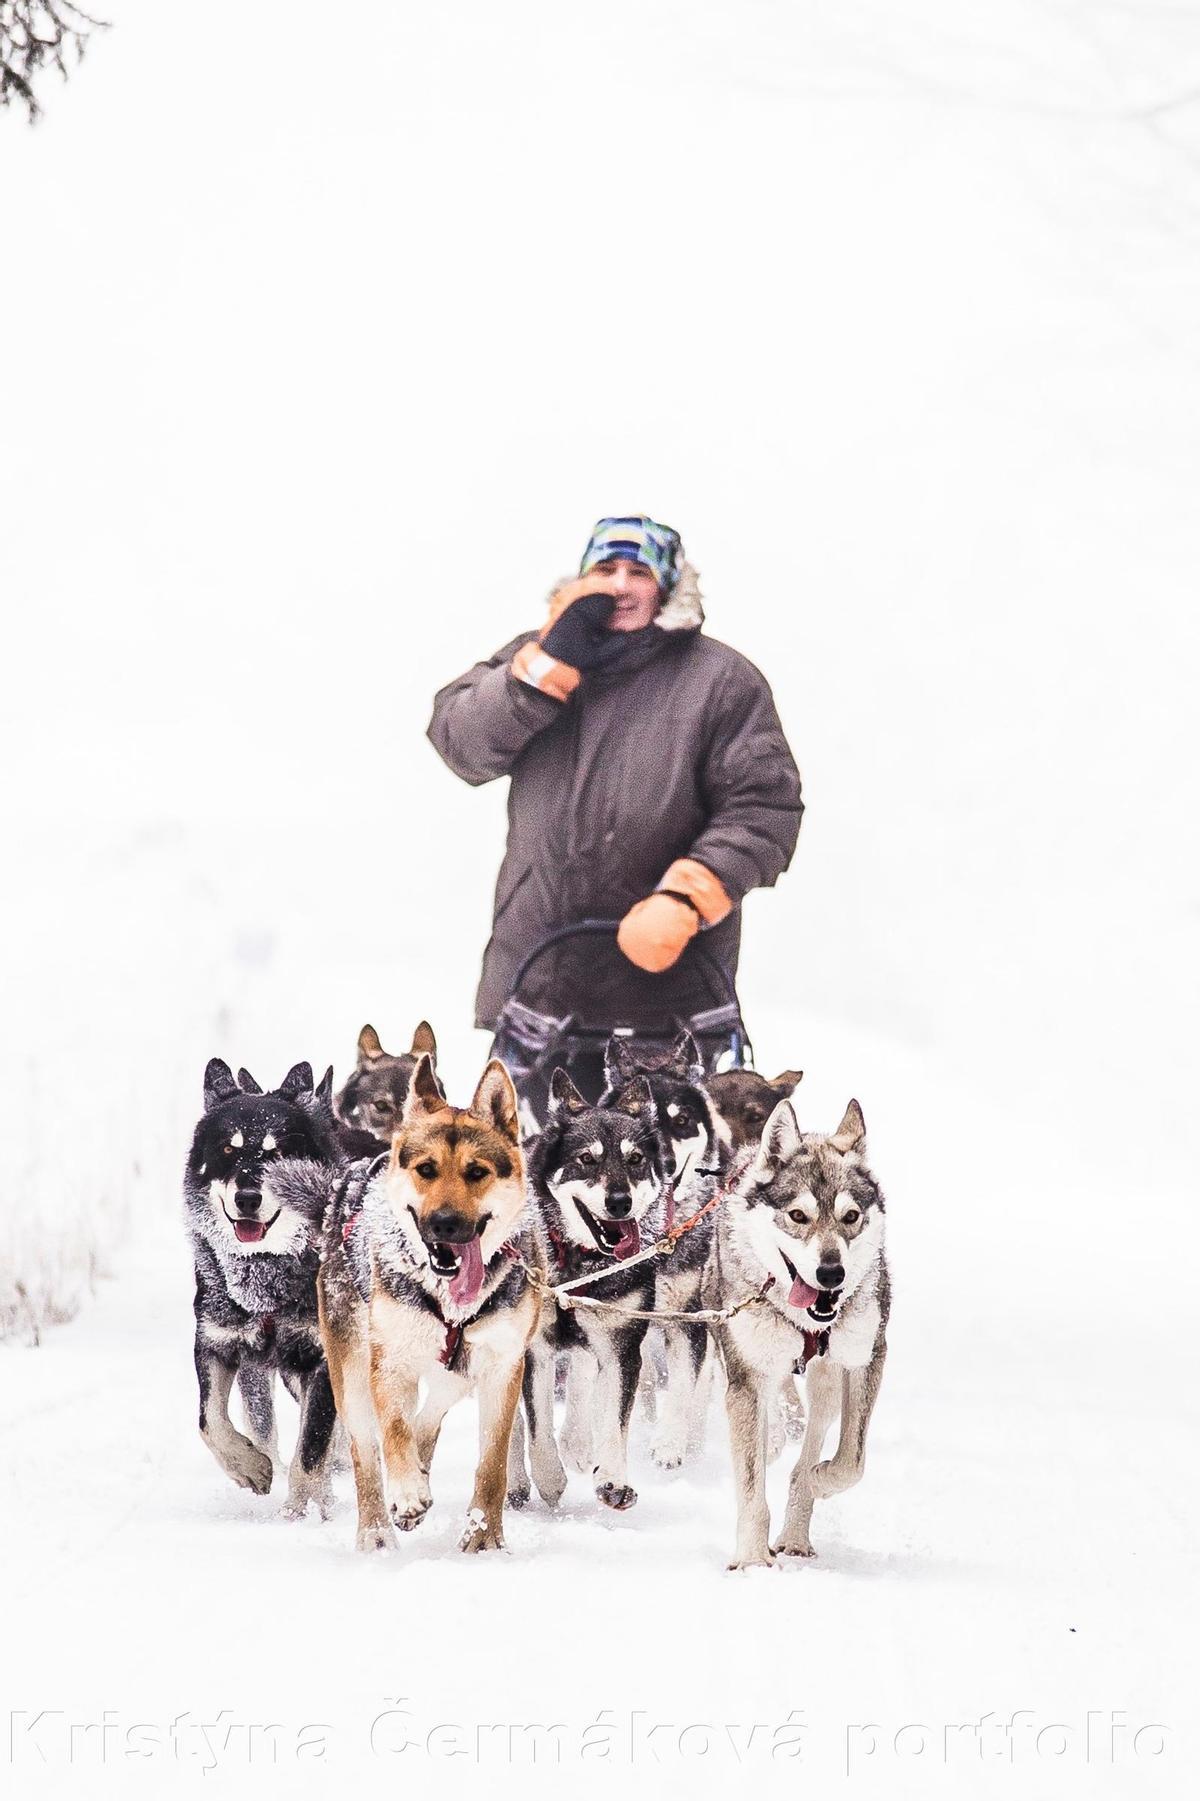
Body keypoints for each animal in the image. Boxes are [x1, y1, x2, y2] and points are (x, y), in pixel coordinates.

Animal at [183, 1058, 340, 1512]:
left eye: (278, 1151)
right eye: (227, 1150)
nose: (248, 1197)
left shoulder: (321, 1359)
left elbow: (312, 1451)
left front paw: (301, 1512)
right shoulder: (216, 1342)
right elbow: (210, 1421)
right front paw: (249, 1466)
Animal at [320, 1051, 540, 1548]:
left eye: (477, 1172)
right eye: (425, 1169)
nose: (444, 1223)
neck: (450, 1301)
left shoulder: (501, 1366)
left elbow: (492, 1464)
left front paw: (483, 1537)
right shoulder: (390, 1360)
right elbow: (394, 1430)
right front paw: (406, 1492)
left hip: (460, 1368)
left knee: (432, 1411)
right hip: (353, 1370)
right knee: (367, 1450)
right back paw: (377, 1531)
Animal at [511, 1073, 673, 1512]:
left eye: (636, 1159)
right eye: (587, 1159)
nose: (620, 1202)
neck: (579, 1262)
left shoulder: (621, 1348)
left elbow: (614, 1418)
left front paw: (613, 1479)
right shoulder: (533, 1350)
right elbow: (537, 1426)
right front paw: (549, 1478)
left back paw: (579, 1444)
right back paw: (515, 1480)